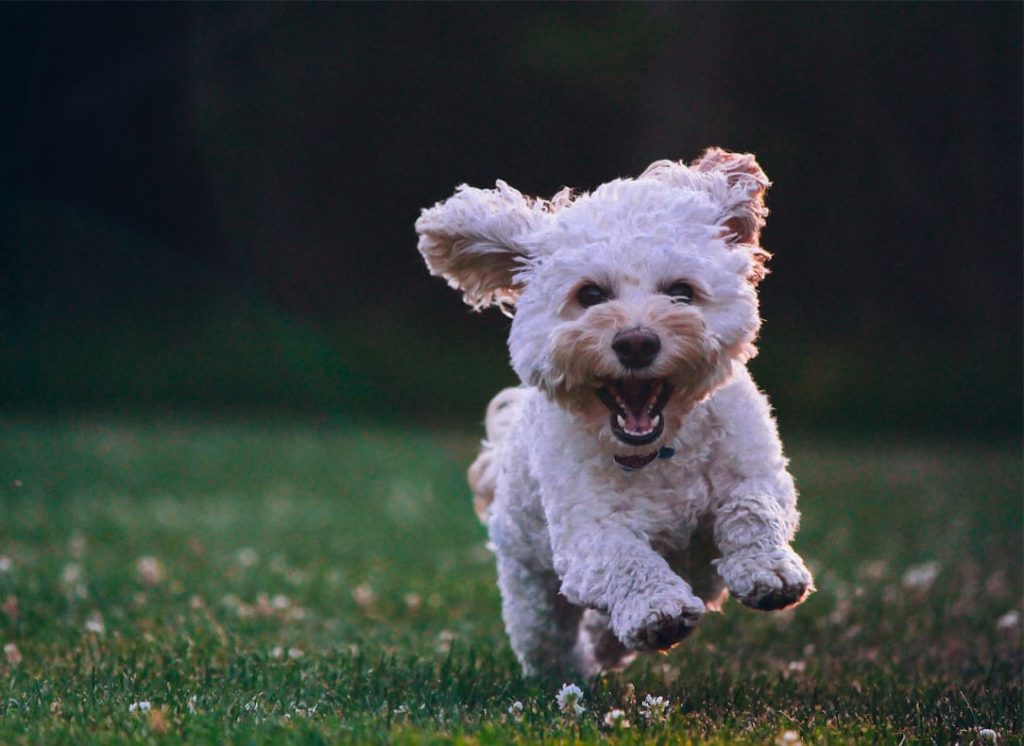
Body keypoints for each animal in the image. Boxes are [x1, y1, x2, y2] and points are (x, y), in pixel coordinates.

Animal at [415, 148, 815, 679]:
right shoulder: (587, 533)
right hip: (530, 585)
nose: (637, 342)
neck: (660, 452)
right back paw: (574, 670)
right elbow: (625, 558)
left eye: (681, 291)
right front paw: (656, 610)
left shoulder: (756, 470)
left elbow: (753, 508)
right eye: (590, 295)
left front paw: (769, 570)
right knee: (547, 637)